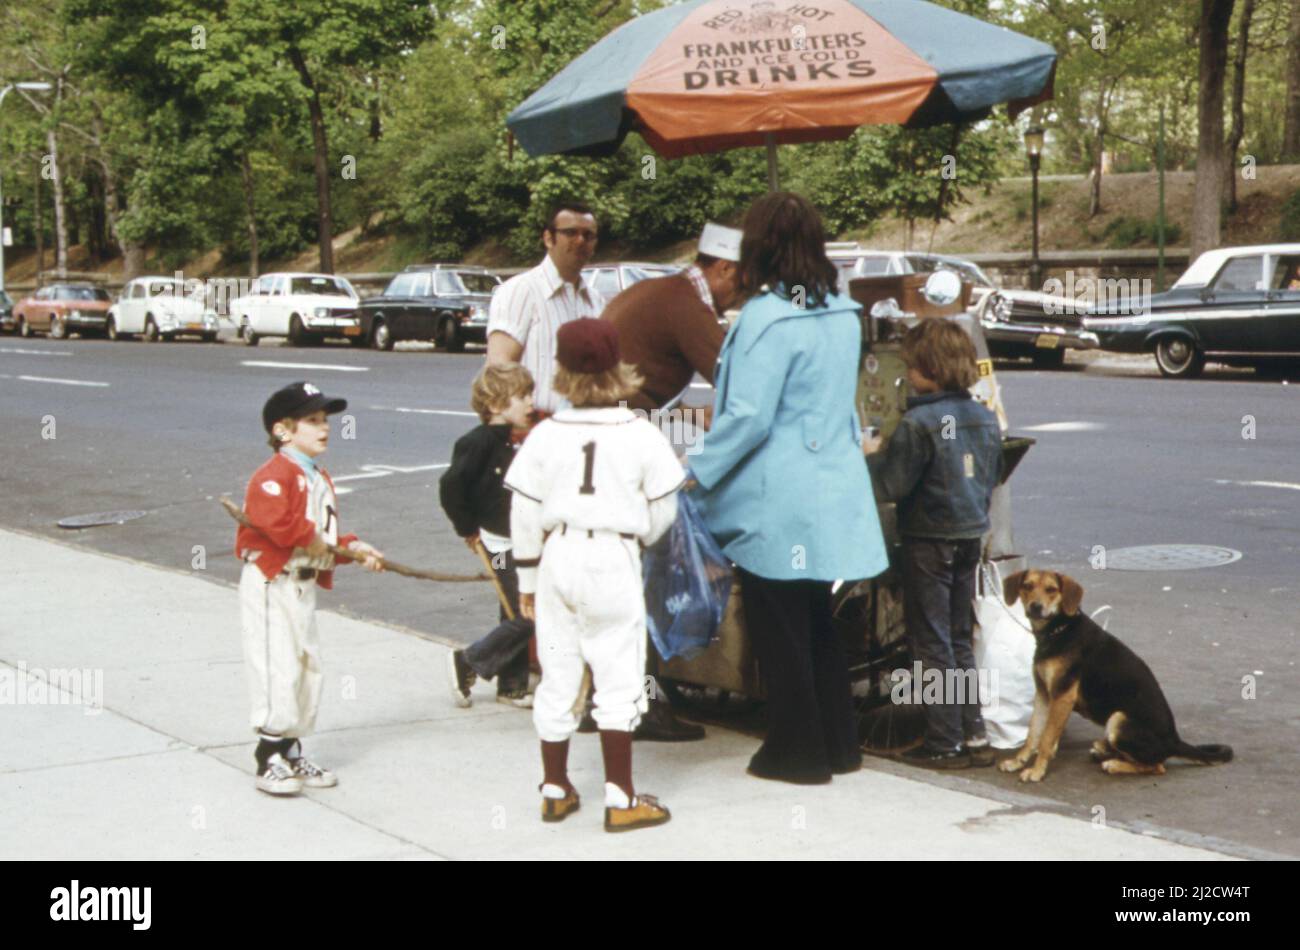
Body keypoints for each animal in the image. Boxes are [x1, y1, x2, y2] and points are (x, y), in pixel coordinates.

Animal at [993, 569, 1227, 784]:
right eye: (1027, 586)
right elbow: (1033, 734)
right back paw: (1104, 750)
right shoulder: (1043, 694)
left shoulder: (1062, 696)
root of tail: (1175, 740)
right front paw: (1018, 761)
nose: (1035, 607)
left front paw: (1037, 771)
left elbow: (1046, 738)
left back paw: (1114, 764)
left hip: (1118, 719)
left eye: (1051, 589)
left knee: (1157, 766)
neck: (1060, 630)